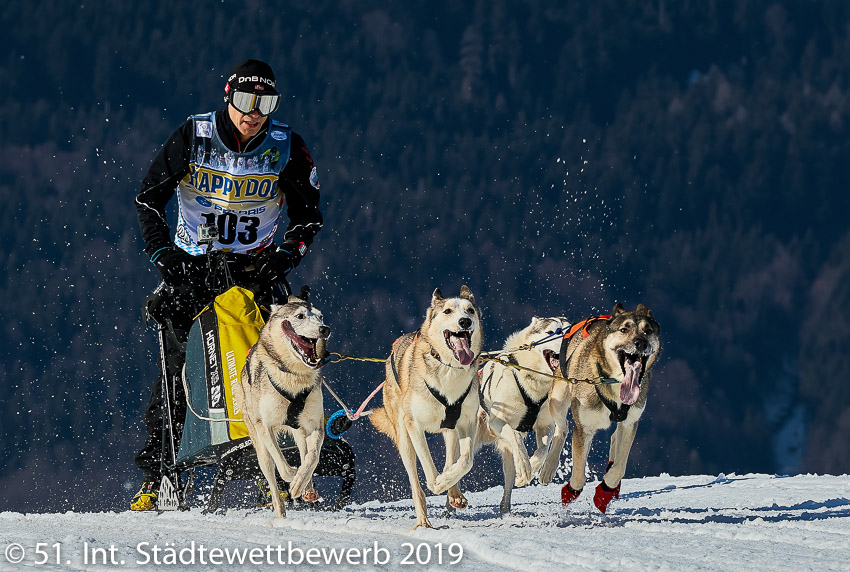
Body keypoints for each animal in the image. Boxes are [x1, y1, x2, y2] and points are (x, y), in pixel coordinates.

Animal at [234, 290, 330, 520]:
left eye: (320, 316)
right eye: (300, 316)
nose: (325, 329)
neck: (294, 378)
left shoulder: (315, 425)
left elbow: (312, 458)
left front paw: (300, 482)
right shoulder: (265, 426)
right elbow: (282, 465)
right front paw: (293, 475)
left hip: (300, 430)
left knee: (304, 452)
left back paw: (307, 487)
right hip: (259, 444)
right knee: (270, 471)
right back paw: (280, 511)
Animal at [372, 286, 484, 528]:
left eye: (470, 310)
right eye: (448, 311)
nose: (464, 322)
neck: (449, 370)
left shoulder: (468, 422)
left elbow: (465, 461)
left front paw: (449, 482)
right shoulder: (414, 426)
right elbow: (430, 473)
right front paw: (438, 482)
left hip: (451, 431)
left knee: (452, 457)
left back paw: (454, 493)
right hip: (404, 440)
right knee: (416, 484)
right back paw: (423, 521)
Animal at [476, 316, 568, 512]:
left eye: (567, 331)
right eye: (551, 332)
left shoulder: (545, 425)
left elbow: (542, 449)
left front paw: (532, 468)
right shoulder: (497, 422)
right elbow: (515, 436)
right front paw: (526, 468)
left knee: (509, 475)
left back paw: (506, 506)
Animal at [540, 304, 660, 512]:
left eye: (648, 331)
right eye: (624, 329)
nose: (641, 343)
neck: (614, 383)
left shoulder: (630, 422)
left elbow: (619, 468)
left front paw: (605, 492)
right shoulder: (584, 428)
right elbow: (578, 475)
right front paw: (570, 492)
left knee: (614, 439)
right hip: (558, 397)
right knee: (562, 428)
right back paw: (548, 468)